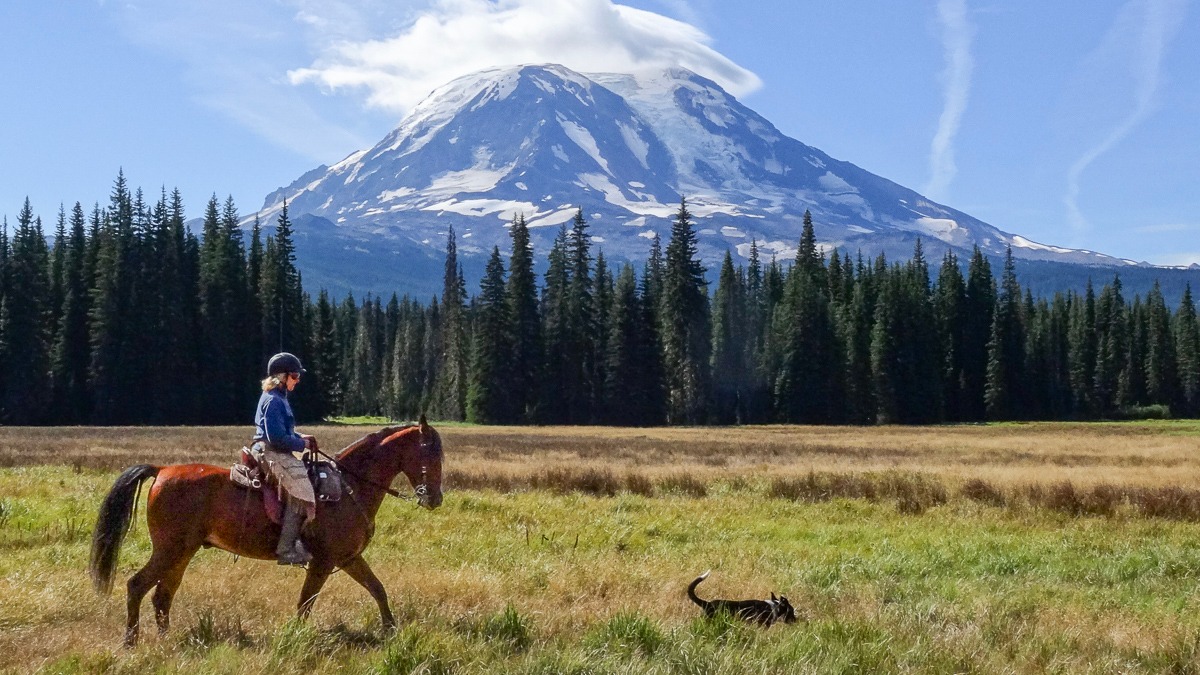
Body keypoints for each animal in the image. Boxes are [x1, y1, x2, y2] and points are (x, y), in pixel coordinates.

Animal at [88, 418, 444, 647]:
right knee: (137, 586)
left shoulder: (349, 558)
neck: (348, 487)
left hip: (183, 552)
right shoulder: (324, 562)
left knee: (162, 595)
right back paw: (131, 642)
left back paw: (165, 640)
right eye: (430, 453)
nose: (434, 498)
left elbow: (377, 589)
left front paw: (392, 631)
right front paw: (294, 638)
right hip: (170, 550)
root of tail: (161, 471)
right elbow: (305, 603)